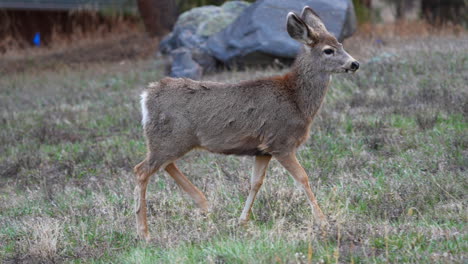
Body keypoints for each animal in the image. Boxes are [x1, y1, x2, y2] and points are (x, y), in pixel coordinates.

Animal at [133, 6, 360, 241]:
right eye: (328, 50)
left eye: (341, 44)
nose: (355, 63)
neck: (297, 101)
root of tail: (146, 97)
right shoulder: (281, 141)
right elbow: (302, 178)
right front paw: (323, 221)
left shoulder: (262, 149)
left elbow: (255, 183)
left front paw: (242, 221)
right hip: (171, 138)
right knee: (141, 170)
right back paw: (144, 232)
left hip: (170, 140)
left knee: (164, 165)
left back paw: (204, 205)